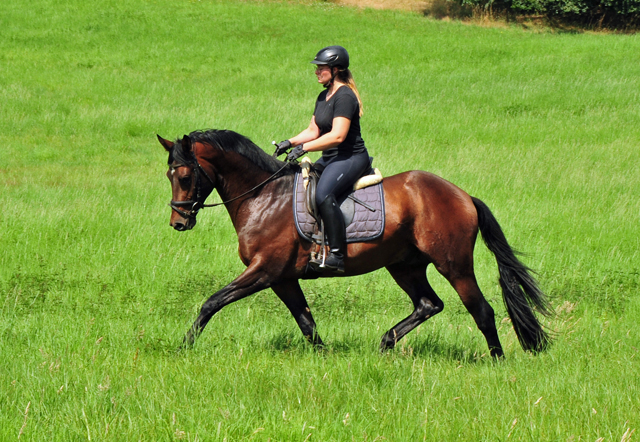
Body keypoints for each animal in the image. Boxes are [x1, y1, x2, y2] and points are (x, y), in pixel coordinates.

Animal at [159, 129, 552, 358]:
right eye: (169, 174)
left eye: (184, 175)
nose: (178, 222)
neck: (264, 196)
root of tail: (463, 195)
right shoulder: (283, 278)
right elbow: (306, 322)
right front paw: (325, 357)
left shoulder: (264, 271)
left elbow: (211, 302)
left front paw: (183, 347)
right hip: (405, 266)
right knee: (428, 304)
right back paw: (386, 343)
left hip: (453, 265)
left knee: (481, 311)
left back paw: (497, 360)